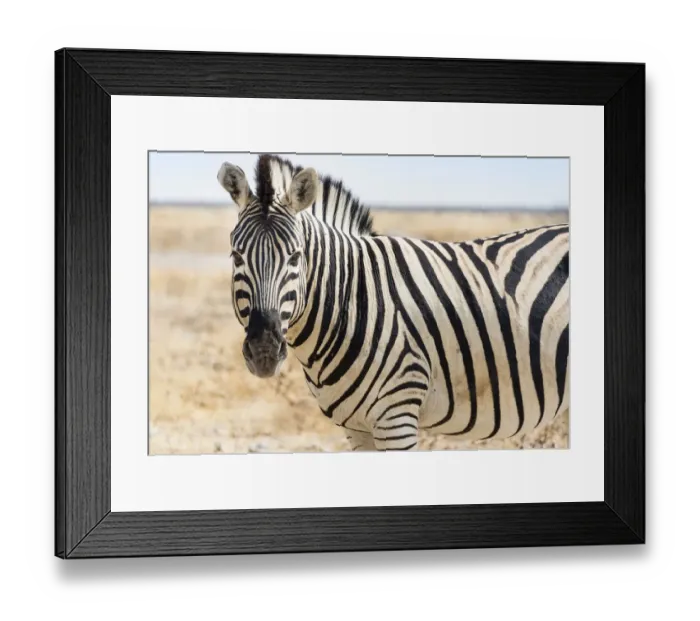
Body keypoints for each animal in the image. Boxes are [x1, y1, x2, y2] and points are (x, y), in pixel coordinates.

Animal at [217, 154, 569, 451]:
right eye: (236, 256)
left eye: (295, 257)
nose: (263, 351)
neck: (351, 302)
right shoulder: (356, 428)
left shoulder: (396, 416)